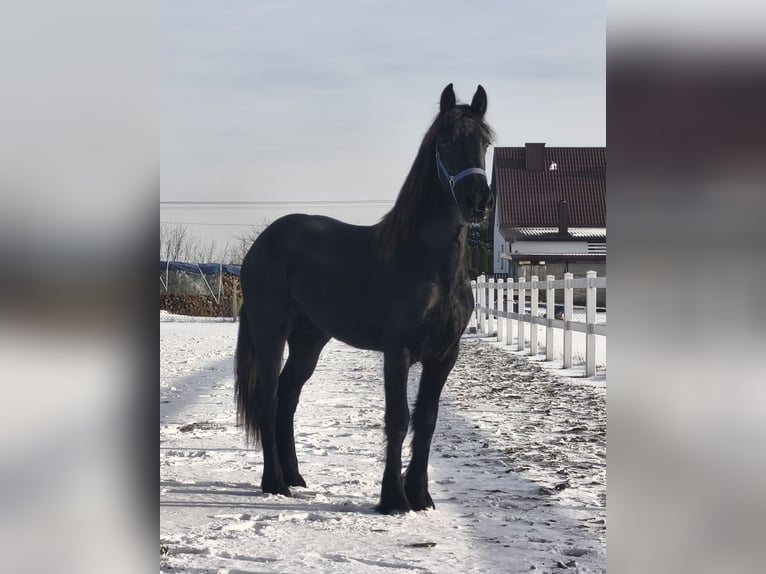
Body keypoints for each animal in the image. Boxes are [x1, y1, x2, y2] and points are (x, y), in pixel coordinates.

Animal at [235, 83, 494, 514]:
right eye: (445, 140)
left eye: (485, 142)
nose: (477, 200)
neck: (427, 262)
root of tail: (261, 244)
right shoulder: (397, 350)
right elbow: (398, 419)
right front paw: (394, 499)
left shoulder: (444, 355)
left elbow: (427, 420)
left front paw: (420, 496)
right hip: (270, 331)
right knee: (269, 399)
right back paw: (275, 482)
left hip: (310, 339)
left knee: (288, 396)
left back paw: (296, 476)